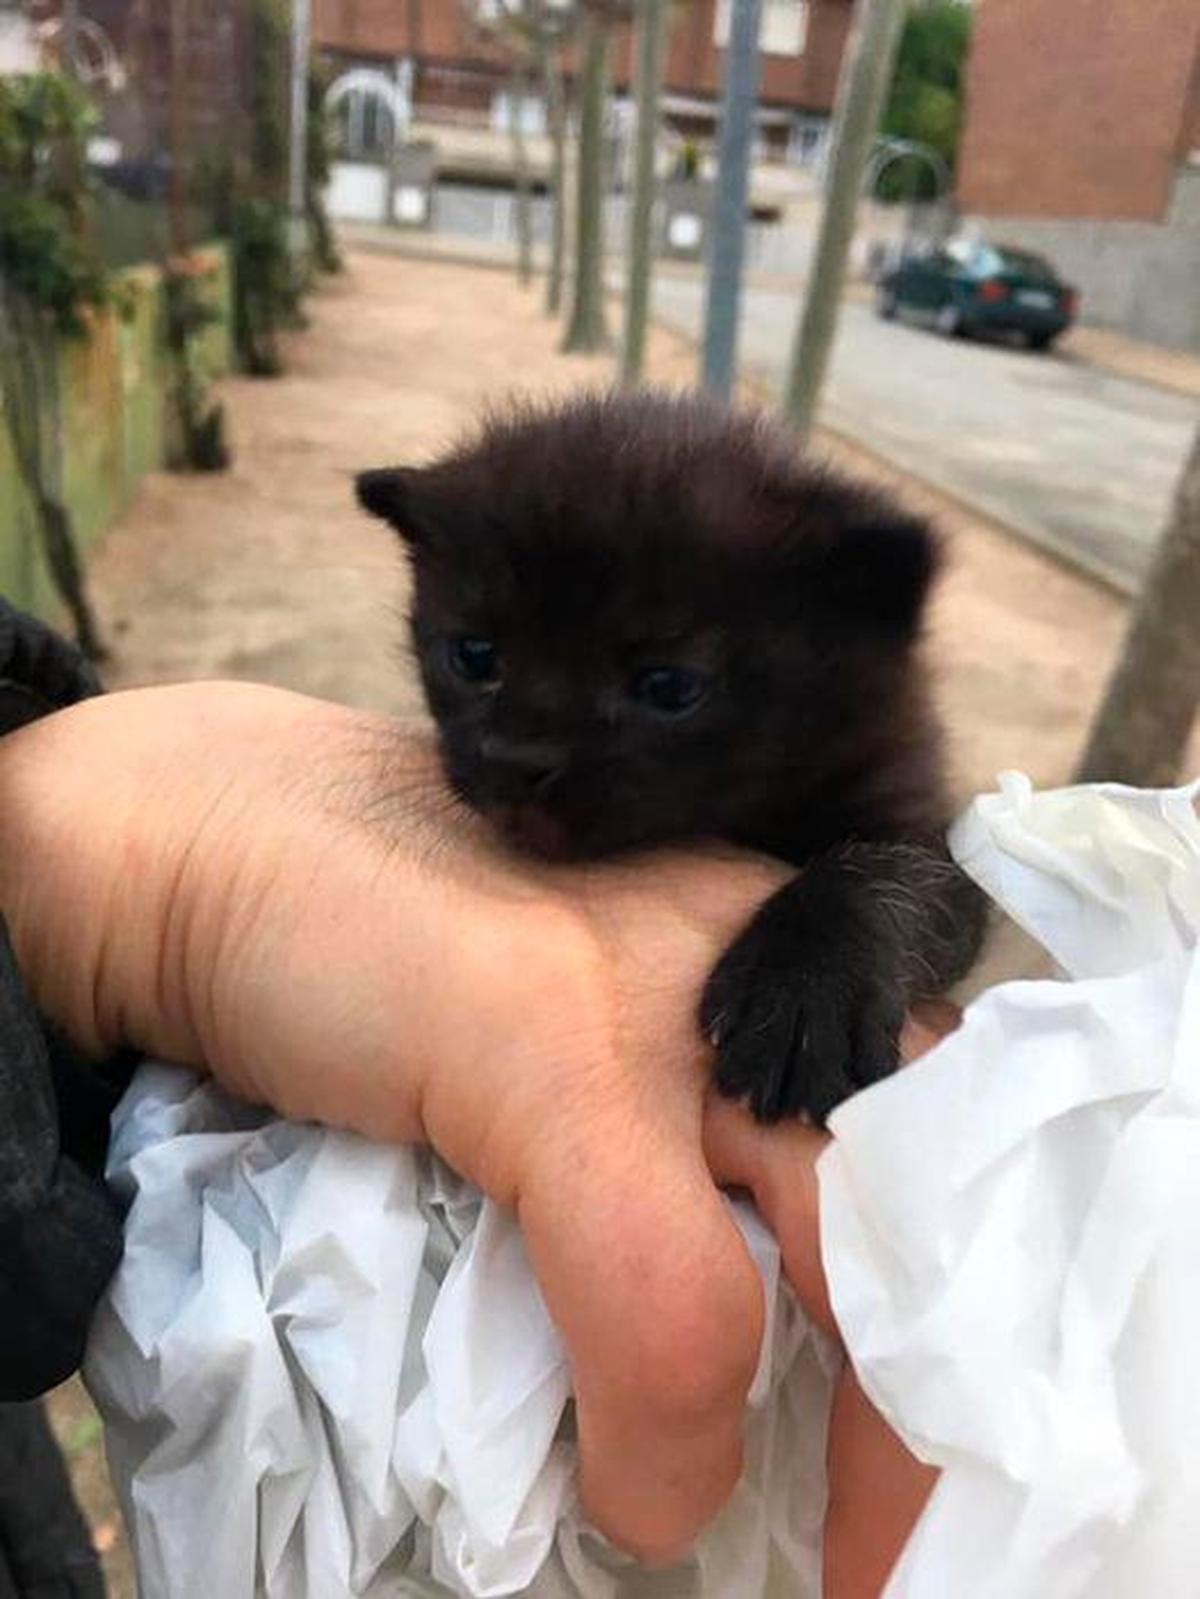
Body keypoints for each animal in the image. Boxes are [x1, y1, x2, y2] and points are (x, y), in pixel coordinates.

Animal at [360, 393, 985, 1125]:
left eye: (670, 686)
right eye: (474, 656)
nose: (516, 760)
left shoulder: (929, 833)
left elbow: (880, 872)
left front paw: (808, 994)